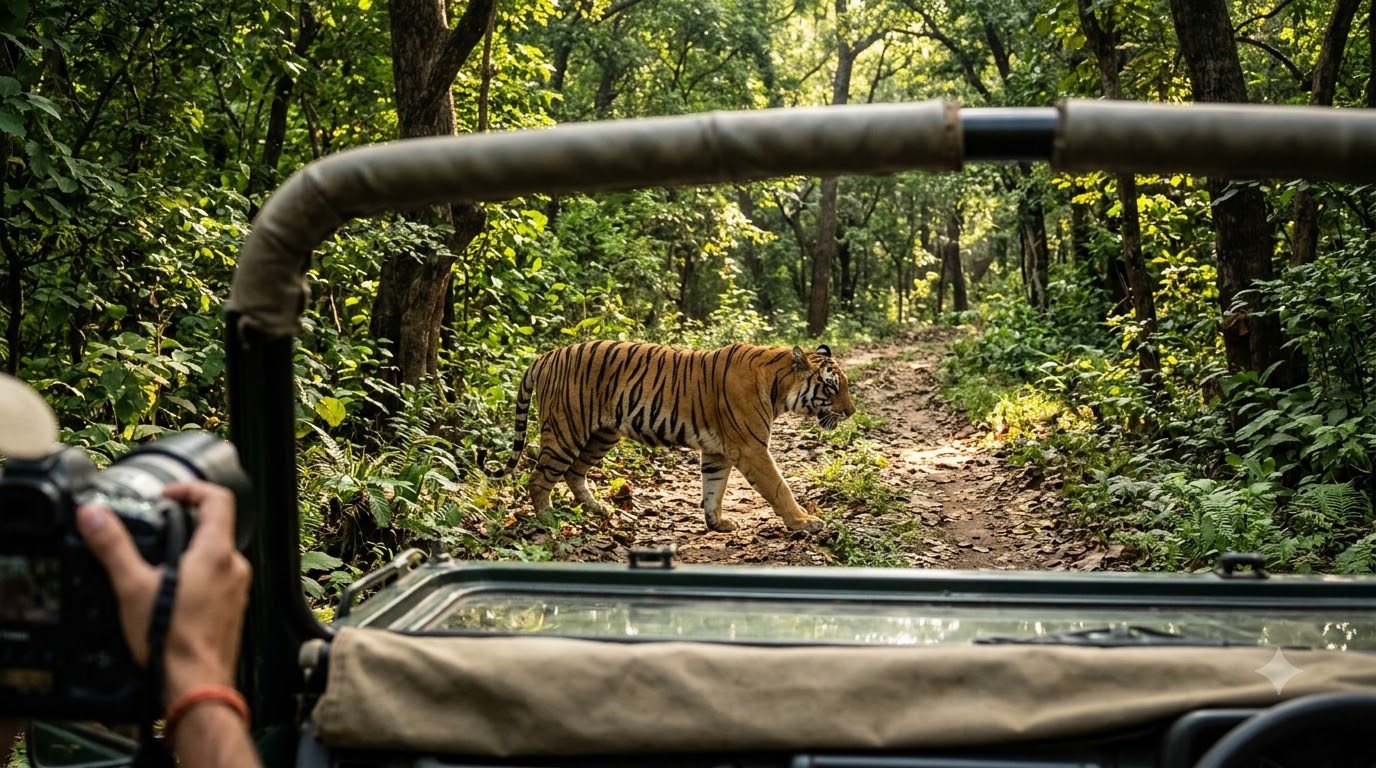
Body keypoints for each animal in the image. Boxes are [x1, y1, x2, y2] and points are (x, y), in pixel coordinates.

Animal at [484, 340, 856, 533]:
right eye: (831, 387)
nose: (851, 412)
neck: (778, 386)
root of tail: (545, 356)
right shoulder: (751, 448)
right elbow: (779, 488)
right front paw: (804, 521)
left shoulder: (718, 452)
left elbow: (714, 488)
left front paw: (716, 522)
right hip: (566, 430)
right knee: (539, 478)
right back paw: (549, 520)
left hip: (601, 435)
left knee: (575, 474)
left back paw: (602, 511)